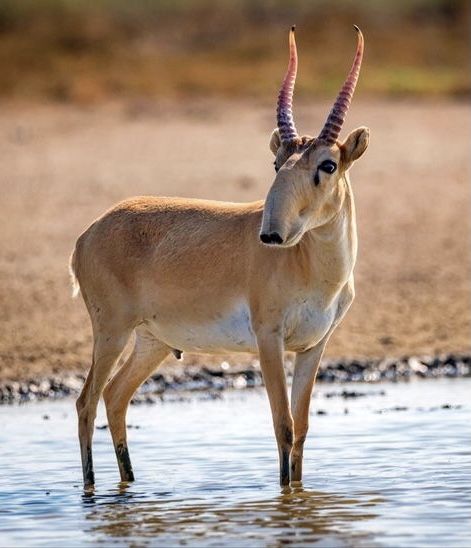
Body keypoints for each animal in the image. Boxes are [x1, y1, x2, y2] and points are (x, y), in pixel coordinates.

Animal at [71, 25, 368, 488]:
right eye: (277, 161)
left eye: (328, 164)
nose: (271, 233)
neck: (313, 269)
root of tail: (88, 234)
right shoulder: (269, 339)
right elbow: (282, 425)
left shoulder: (313, 346)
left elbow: (301, 428)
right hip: (111, 332)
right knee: (86, 401)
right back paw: (91, 490)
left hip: (152, 341)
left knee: (115, 396)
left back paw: (130, 483)